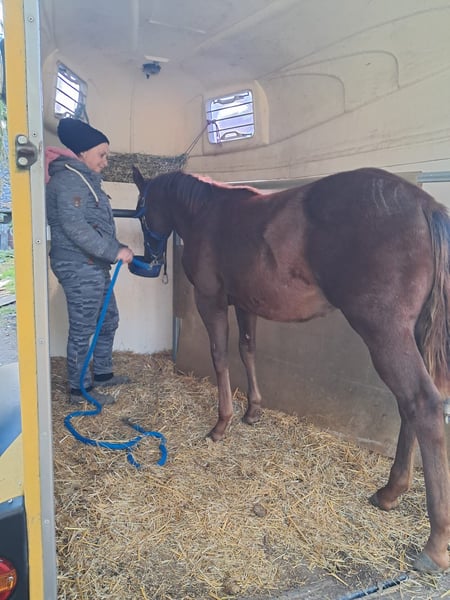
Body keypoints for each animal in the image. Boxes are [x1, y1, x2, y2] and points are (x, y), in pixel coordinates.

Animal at [132, 165, 450, 573]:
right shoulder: (245, 302)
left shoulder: (211, 300)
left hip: (385, 333)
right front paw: (253, 411)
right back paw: (390, 491)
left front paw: (222, 423)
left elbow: (220, 356)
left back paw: (434, 542)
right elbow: (247, 349)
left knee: (422, 404)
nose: (149, 258)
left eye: (142, 213)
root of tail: (425, 204)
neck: (207, 212)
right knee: (409, 408)